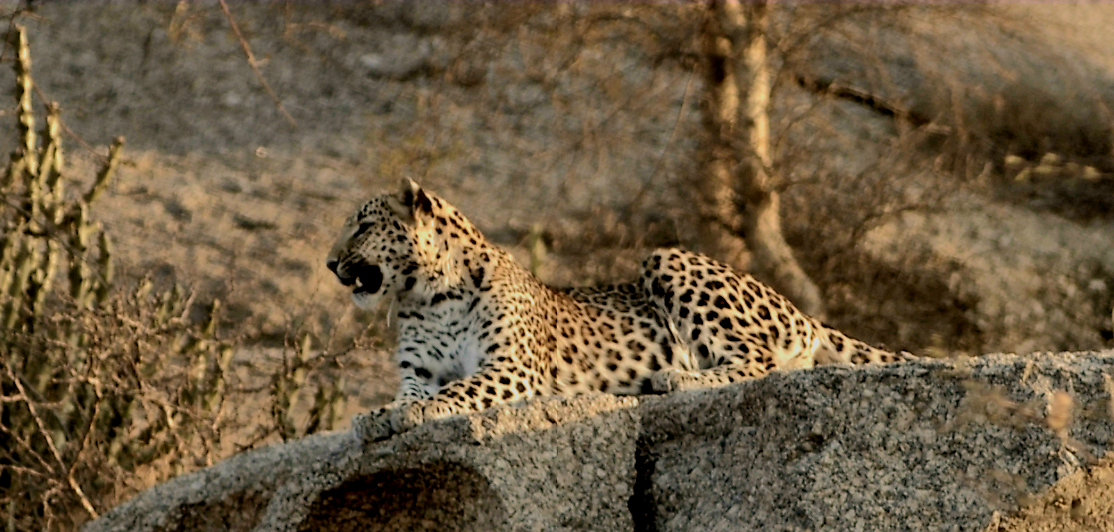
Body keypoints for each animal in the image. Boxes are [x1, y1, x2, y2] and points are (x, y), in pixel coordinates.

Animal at [326, 178, 915, 443]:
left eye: (363, 225)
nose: (330, 263)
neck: (429, 292)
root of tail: (802, 311)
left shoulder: (510, 368)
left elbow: (457, 391)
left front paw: (415, 413)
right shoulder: (419, 370)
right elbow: (412, 391)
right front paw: (378, 413)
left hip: (668, 257)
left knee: (759, 360)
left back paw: (675, 379)